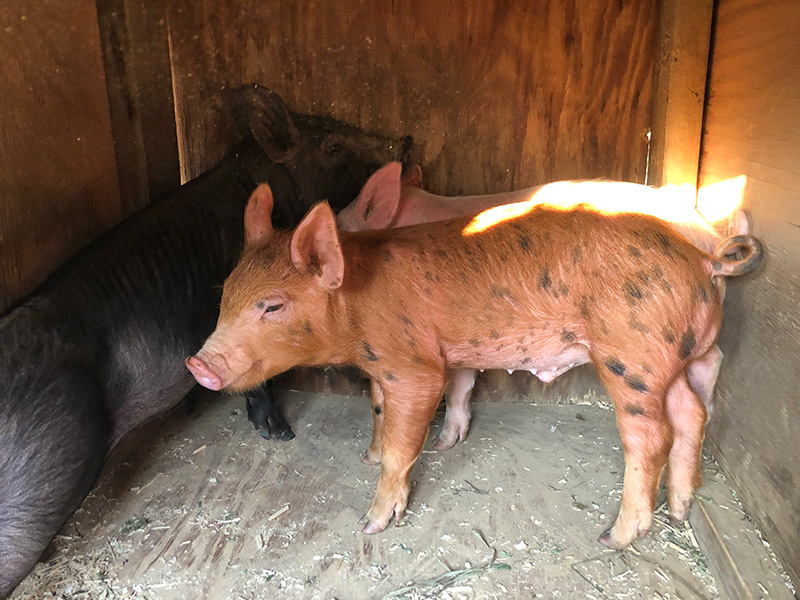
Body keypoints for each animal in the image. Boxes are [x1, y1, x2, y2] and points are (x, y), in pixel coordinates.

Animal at [337, 163, 752, 455]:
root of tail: (708, 239)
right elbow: (464, 385)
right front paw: (451, 440)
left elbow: (457, 384)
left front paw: (441, 445)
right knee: (711, 359)